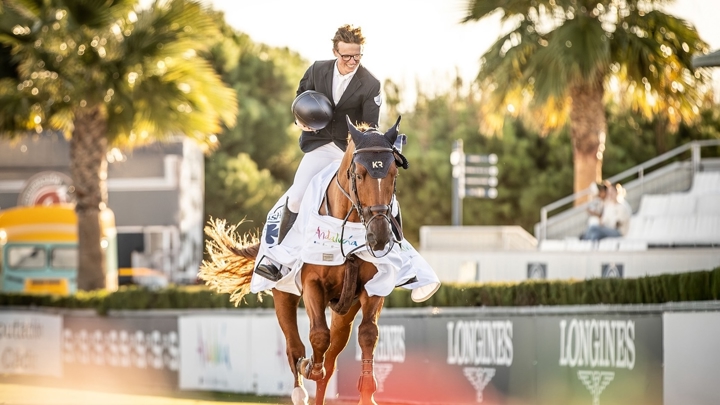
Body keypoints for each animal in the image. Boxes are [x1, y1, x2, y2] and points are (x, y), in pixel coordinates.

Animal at [200, 116, 408, 404]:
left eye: (393, 175)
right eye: (358, 174)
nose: (379, 237)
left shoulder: (374, 287)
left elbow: (367, 335)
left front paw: (367, 393)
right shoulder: (311, 283)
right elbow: (318, 336)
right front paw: (310, 366)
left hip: (345, 310)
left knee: (332, 356)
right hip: (283, 295)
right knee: (295, 347)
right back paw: (300, 386)